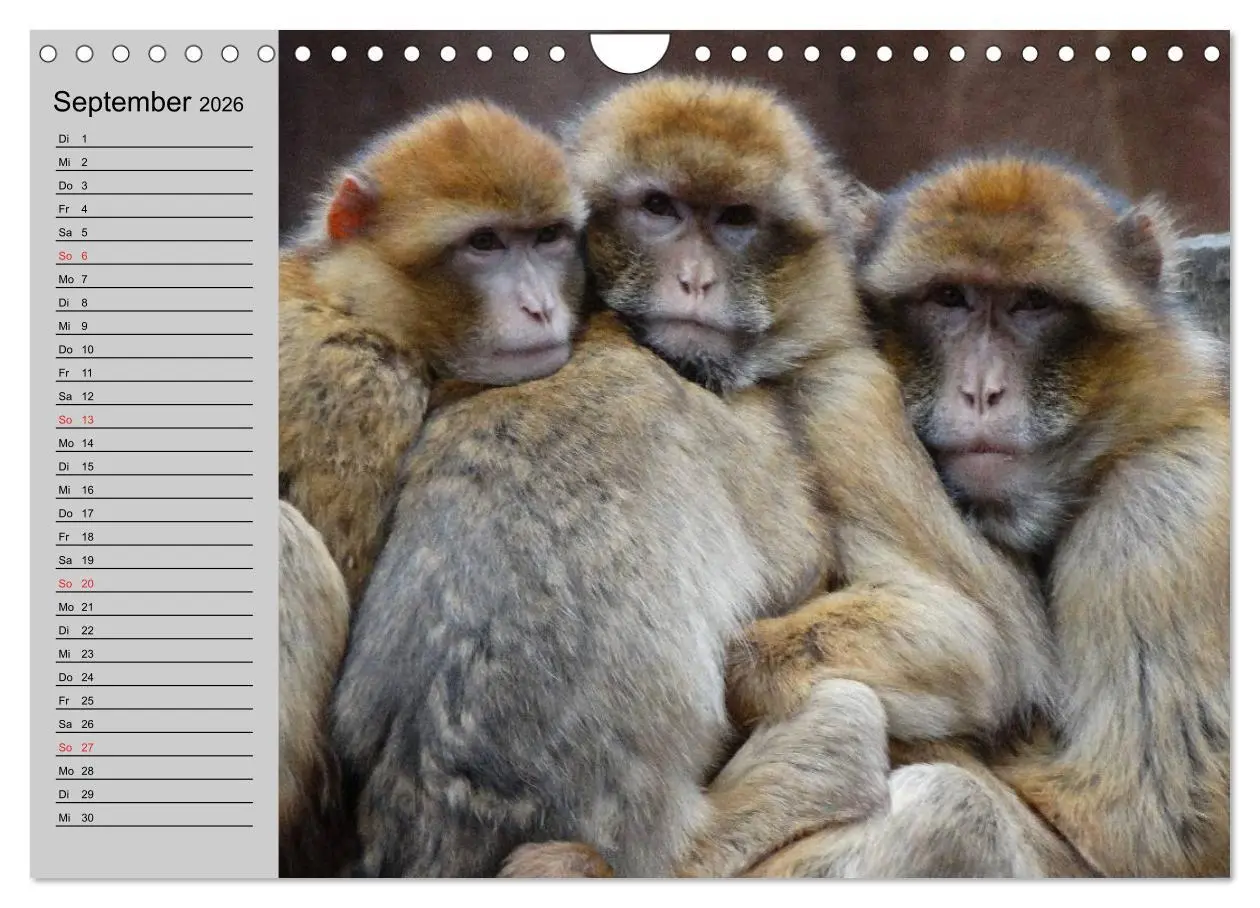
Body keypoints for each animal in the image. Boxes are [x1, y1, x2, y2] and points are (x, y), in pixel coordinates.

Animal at [732, 154, 1229, 877]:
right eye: (951, 298)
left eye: (1033, 304)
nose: (981, 390)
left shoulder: (1169, 507)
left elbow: (1135, 833)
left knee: (958, 808)